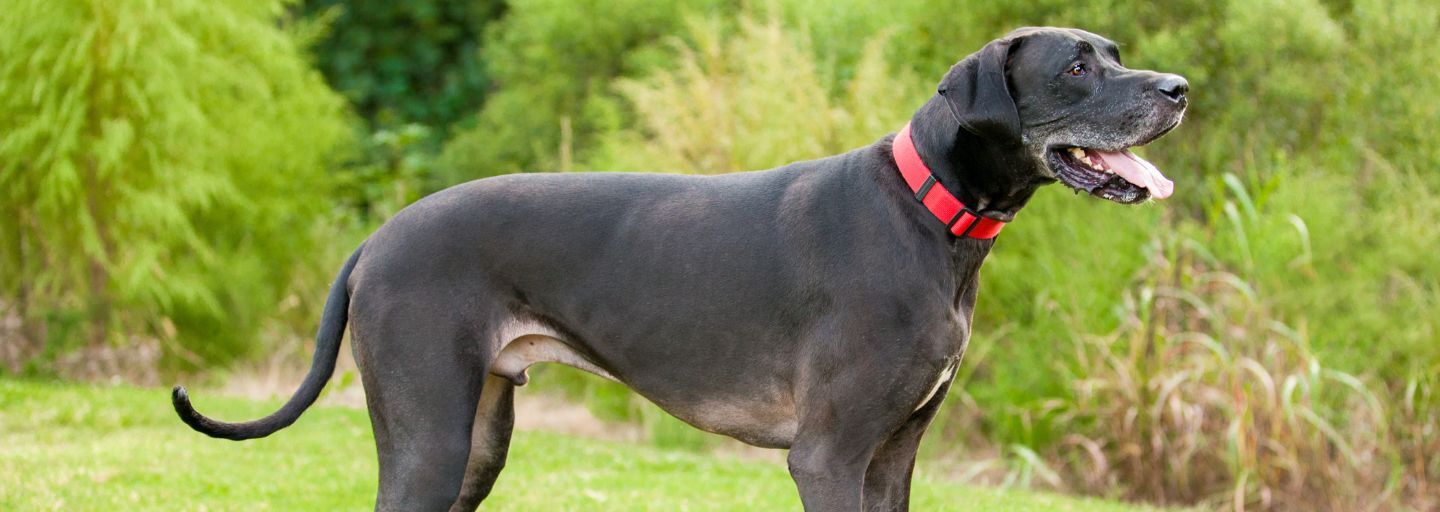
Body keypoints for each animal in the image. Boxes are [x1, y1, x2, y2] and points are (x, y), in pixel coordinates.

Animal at [171, 26, 1180, 509]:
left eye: (1117, 54)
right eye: (1079, 67)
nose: (1178, 90)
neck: (929, 210)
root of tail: (378, 238)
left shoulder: (894, 456)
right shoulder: (829, 456)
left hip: (476, 443)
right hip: (429, 440)